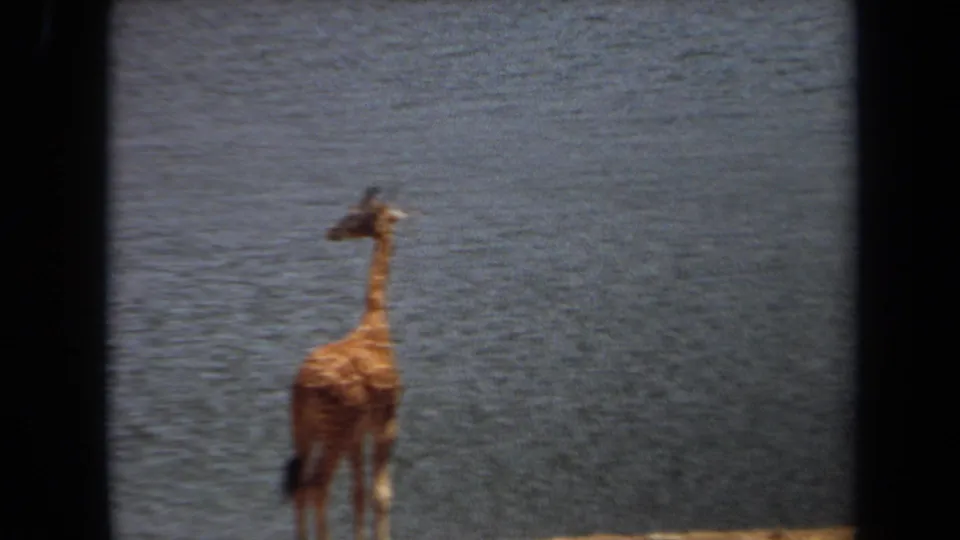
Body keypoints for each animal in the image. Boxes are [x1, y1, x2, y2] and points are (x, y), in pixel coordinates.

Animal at [282, 186, 408, 540]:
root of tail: (302, 386)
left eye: (357, 215)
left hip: (303, 429)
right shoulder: (387, 422)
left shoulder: (359, 433)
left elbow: (359, 493)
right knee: (317, 485)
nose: (333, 231)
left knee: (301, 485)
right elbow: (382, 494)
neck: (376, 325)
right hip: (333, 430)